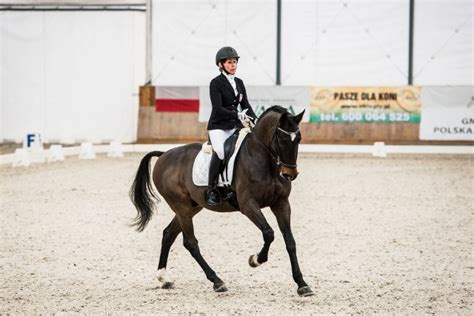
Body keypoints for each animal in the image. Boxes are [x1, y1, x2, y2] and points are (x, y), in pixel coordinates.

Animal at [130, 106, 314, 296]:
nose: (289, 174)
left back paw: (164, 278)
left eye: (298, 139)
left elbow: (290, 242)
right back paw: (217, 281)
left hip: (192, 207)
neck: (265, 161)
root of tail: (164, 155)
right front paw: (255, 260)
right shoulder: (248, 205)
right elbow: (269, 233)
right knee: (190, 243)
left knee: (168, 234)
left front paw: (302, 284)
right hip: (181, 206)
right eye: (281, 138)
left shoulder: (281, 204)